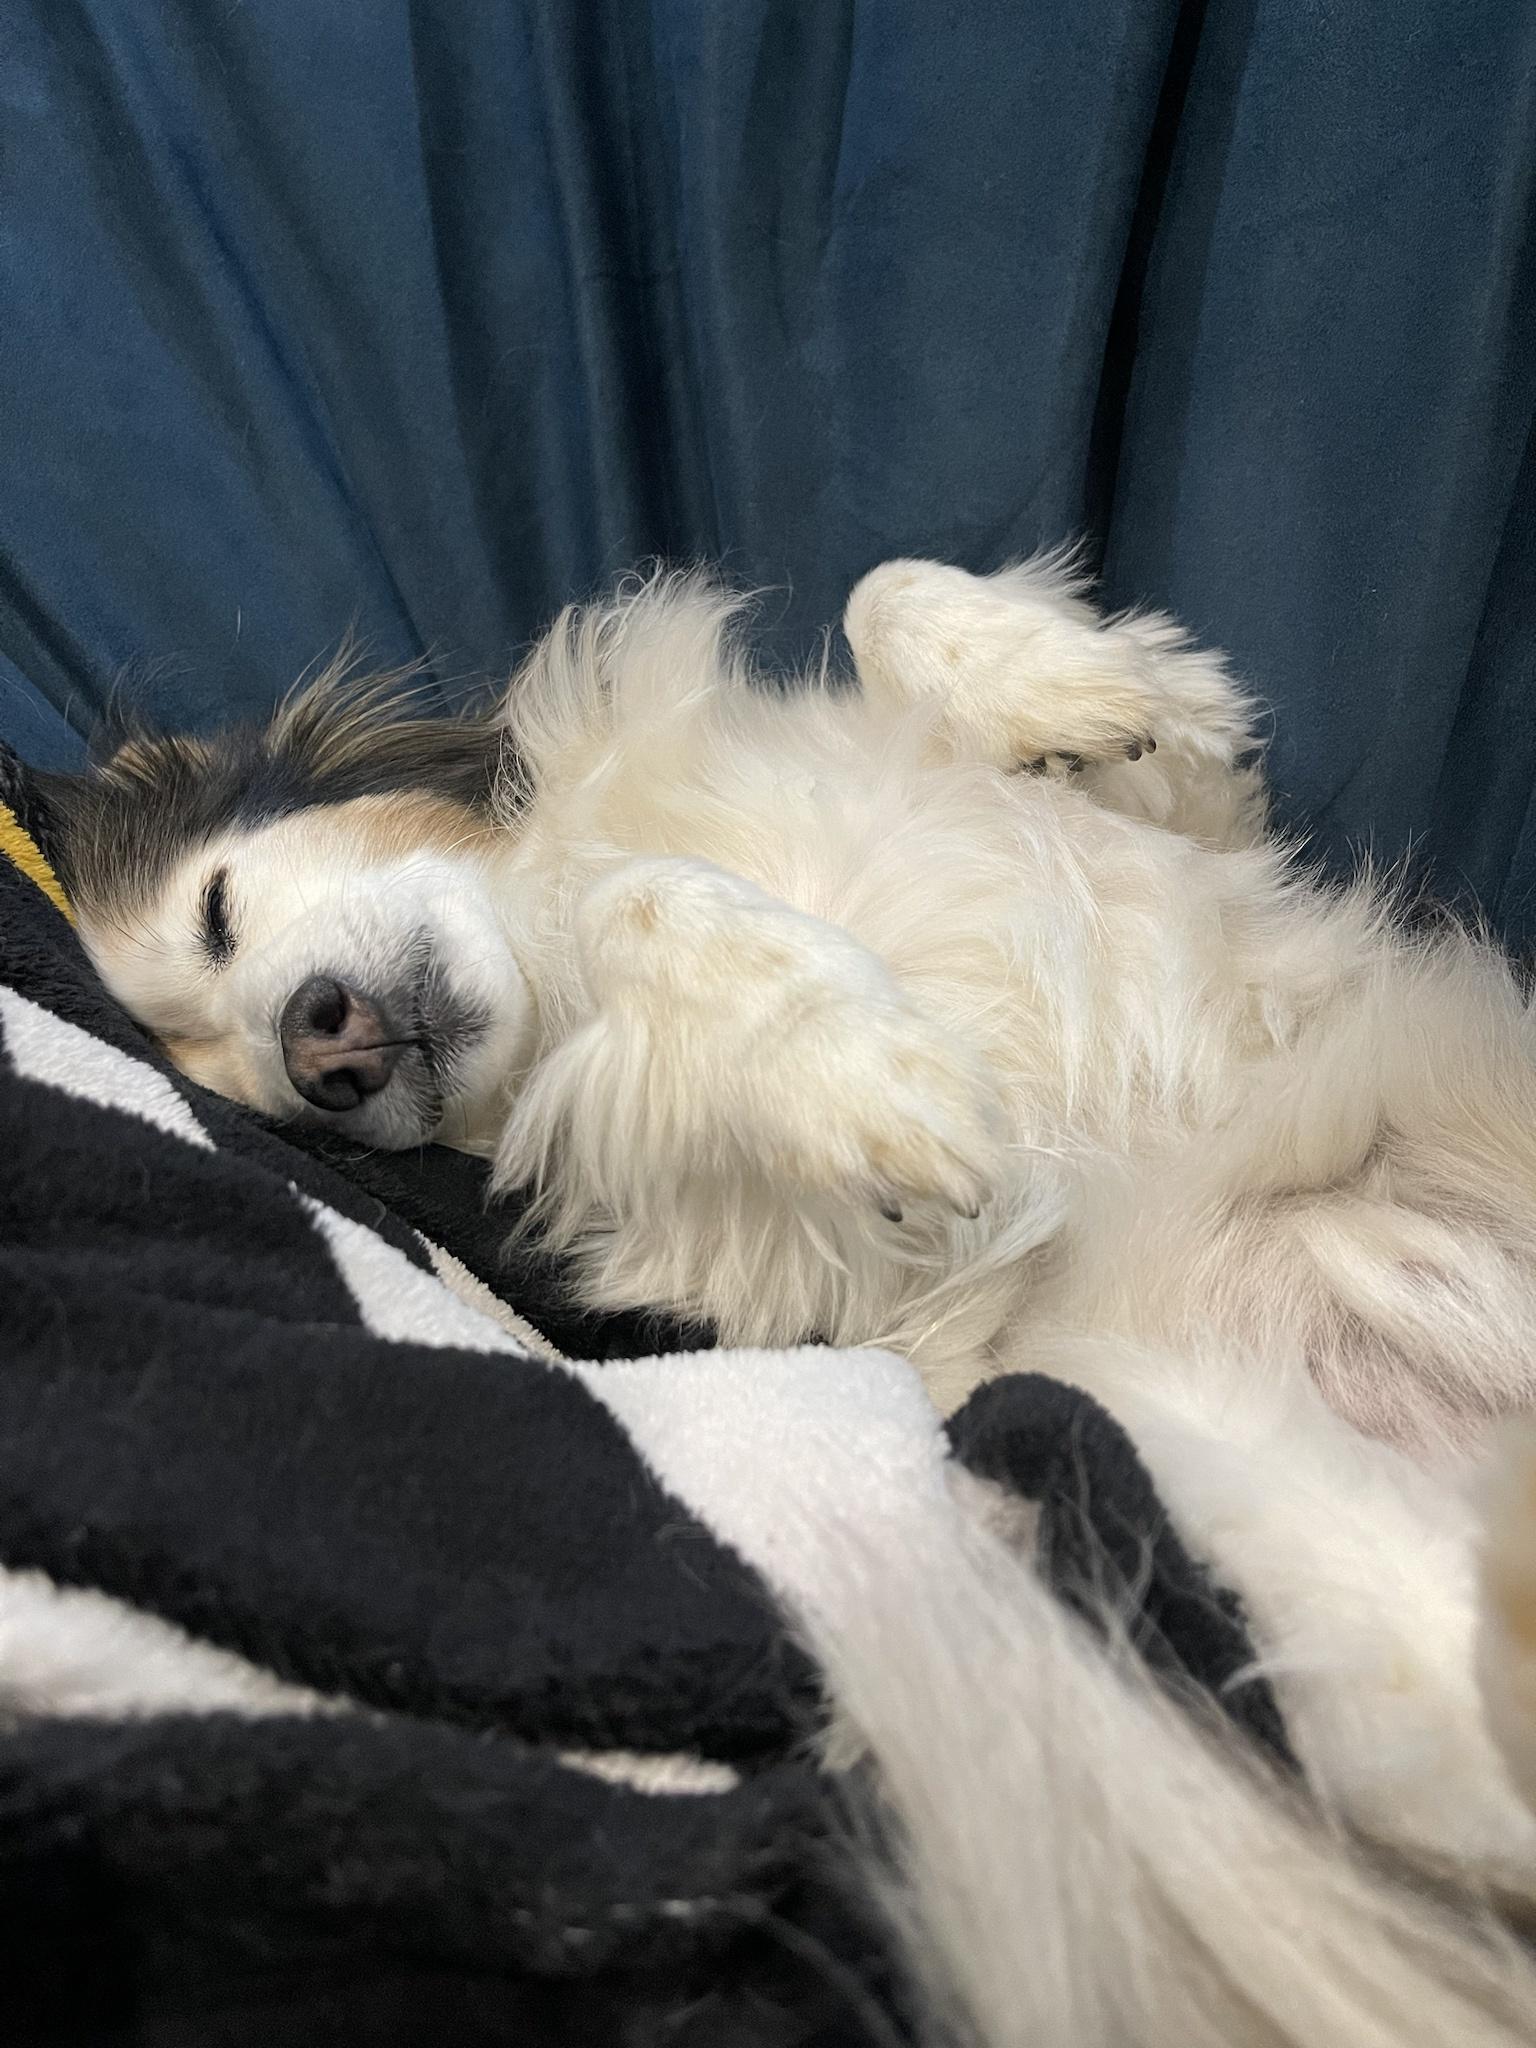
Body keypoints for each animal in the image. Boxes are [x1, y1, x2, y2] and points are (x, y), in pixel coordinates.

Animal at [39, 551, 1536, 2042]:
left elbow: (906, 602)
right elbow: (647, 910)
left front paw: (1087, 688)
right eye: (278, 1116)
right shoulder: (878, 1279)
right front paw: (853, 1056)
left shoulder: (1205, 852)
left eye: (218, 913)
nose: (318, 1054)